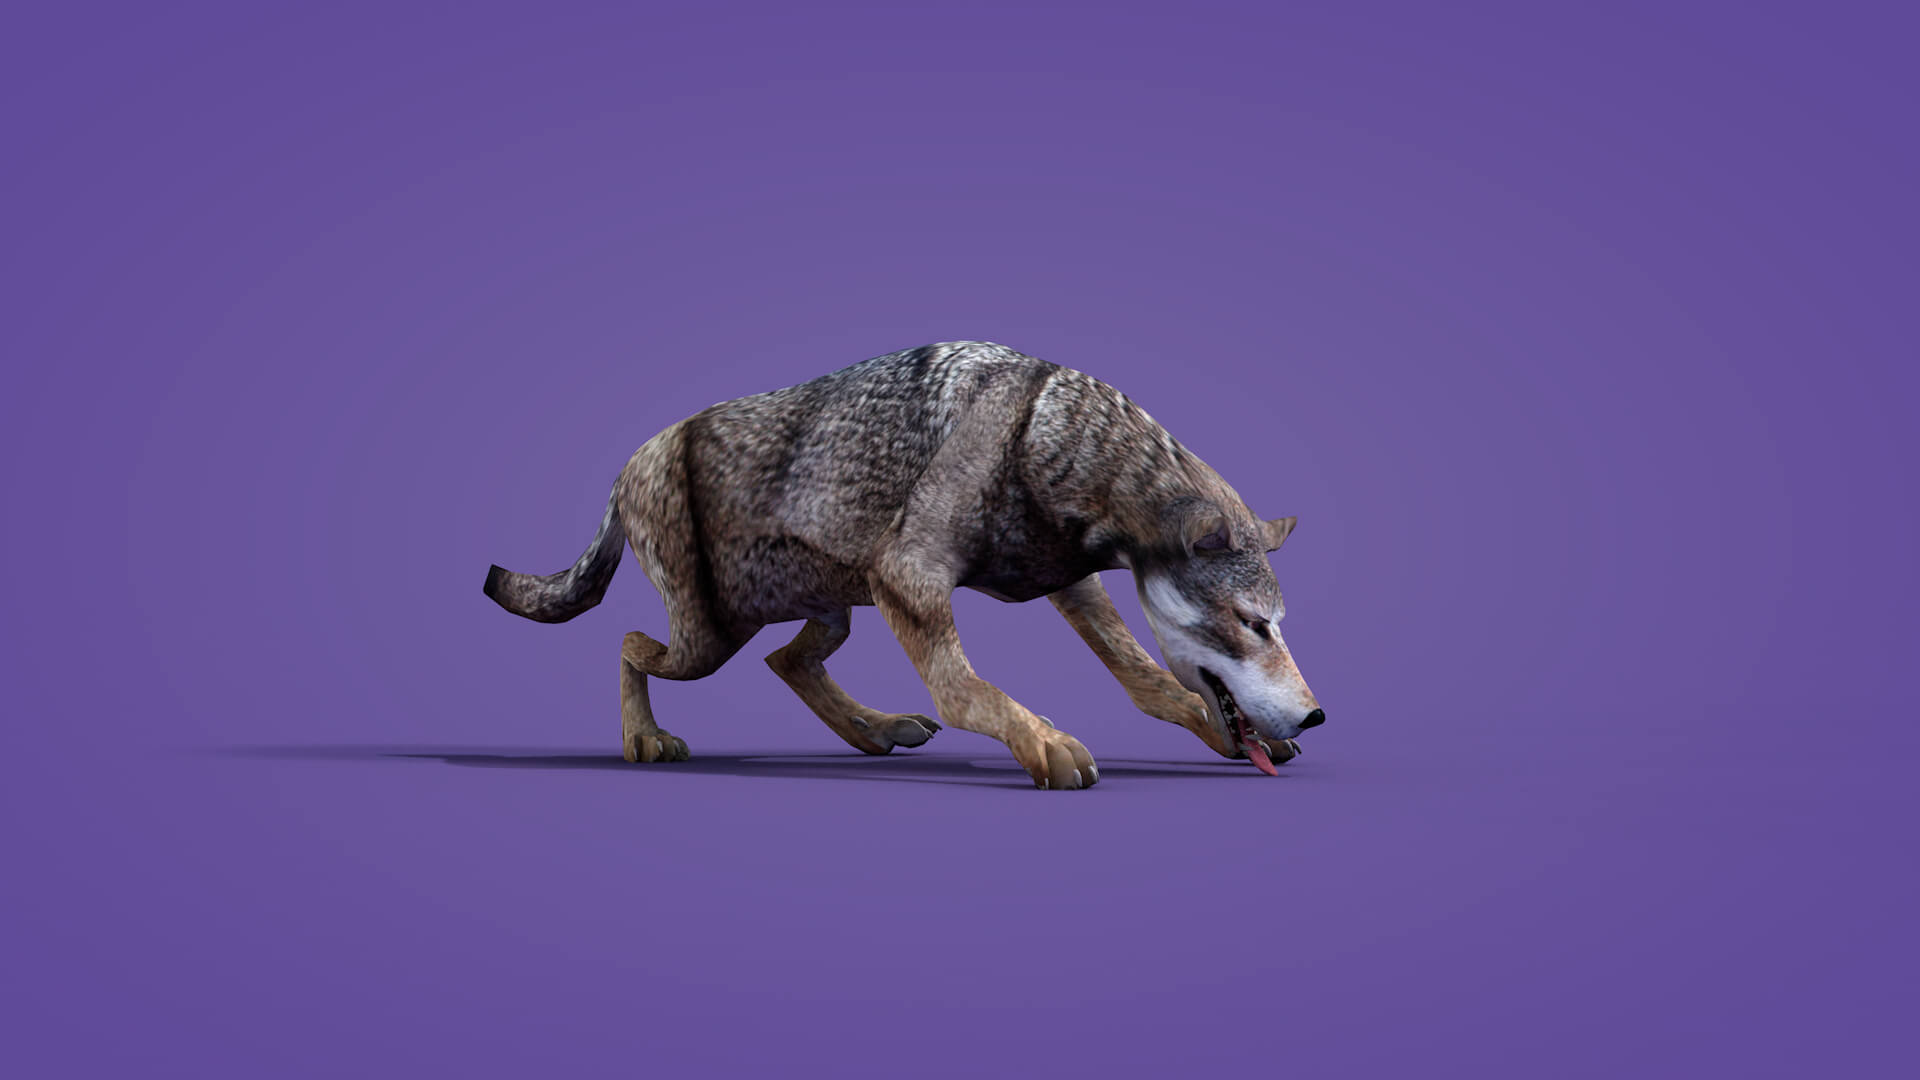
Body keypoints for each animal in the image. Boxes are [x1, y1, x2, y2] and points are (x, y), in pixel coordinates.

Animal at [484, 341, 1326, 789]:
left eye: (1281, 625)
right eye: (1252, 625)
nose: (1317, 715)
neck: (1047, 436)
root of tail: (634, 456)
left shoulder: (1072, 584)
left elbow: (1146, 679)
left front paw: (1218, 732)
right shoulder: (908, 581)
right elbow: (965, 692)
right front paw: (1043, 741)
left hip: (825, 609)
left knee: (788, 662)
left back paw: (874, 730)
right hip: (709, 636)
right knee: (631, 644)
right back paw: (645, 740)